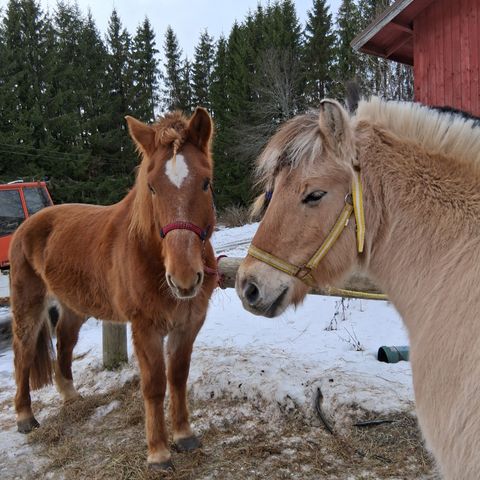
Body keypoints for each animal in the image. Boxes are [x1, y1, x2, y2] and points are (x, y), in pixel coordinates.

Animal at [10, 107, 217, 470]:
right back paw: (25, 417)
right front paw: (158, 452)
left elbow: (178, 377)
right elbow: (155, 384)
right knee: (23, 353)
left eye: (205, 182)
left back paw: (71, 396)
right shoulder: (145, 327)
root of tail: (27, 225)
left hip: (73, 306)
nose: (183, 278)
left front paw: (184, 436)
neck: (148, 253)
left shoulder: (188, 324)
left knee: (64, 342)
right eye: (151, 187)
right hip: (28, 306)